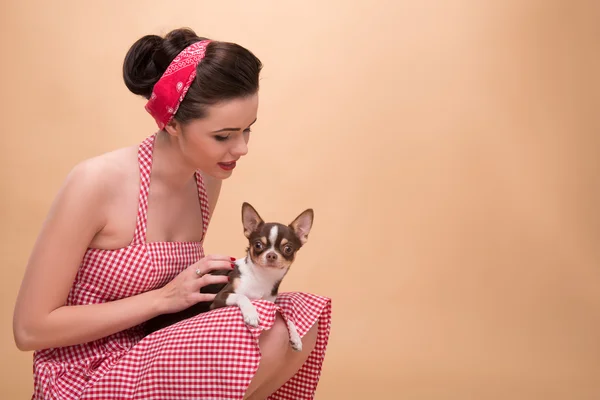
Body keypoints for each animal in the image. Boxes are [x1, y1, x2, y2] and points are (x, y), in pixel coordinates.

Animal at [144, 202, 314, 352]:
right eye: (258, 245)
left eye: (288, 248)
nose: (271, 255)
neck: (260, 278)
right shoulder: (219, 298)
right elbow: (242, 296)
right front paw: (251, 313)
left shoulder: (269, 302)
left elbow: (285, 314)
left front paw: (296, 336)